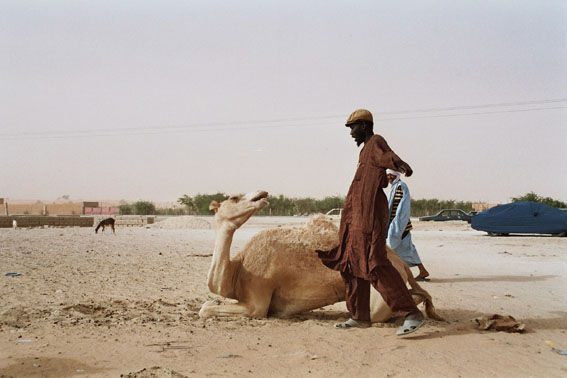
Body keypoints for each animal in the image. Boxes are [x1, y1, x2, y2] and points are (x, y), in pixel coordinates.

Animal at [200, 189, 444, 322]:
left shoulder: (257, 303)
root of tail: (400, 263)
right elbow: (209, 304)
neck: (237, 268)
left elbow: (206, 309)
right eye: (233, 198)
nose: (262, 194)